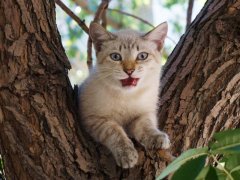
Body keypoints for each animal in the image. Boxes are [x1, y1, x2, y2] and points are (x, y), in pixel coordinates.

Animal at [79, 22, 171, 169]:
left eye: (142, 56)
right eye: (116, 57)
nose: (129, 70)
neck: (127, 96)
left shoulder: (144, 114)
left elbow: (147, 125)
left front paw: (156, 136)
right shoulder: (94, 118)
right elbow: (115, 131)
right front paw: (126, 153)